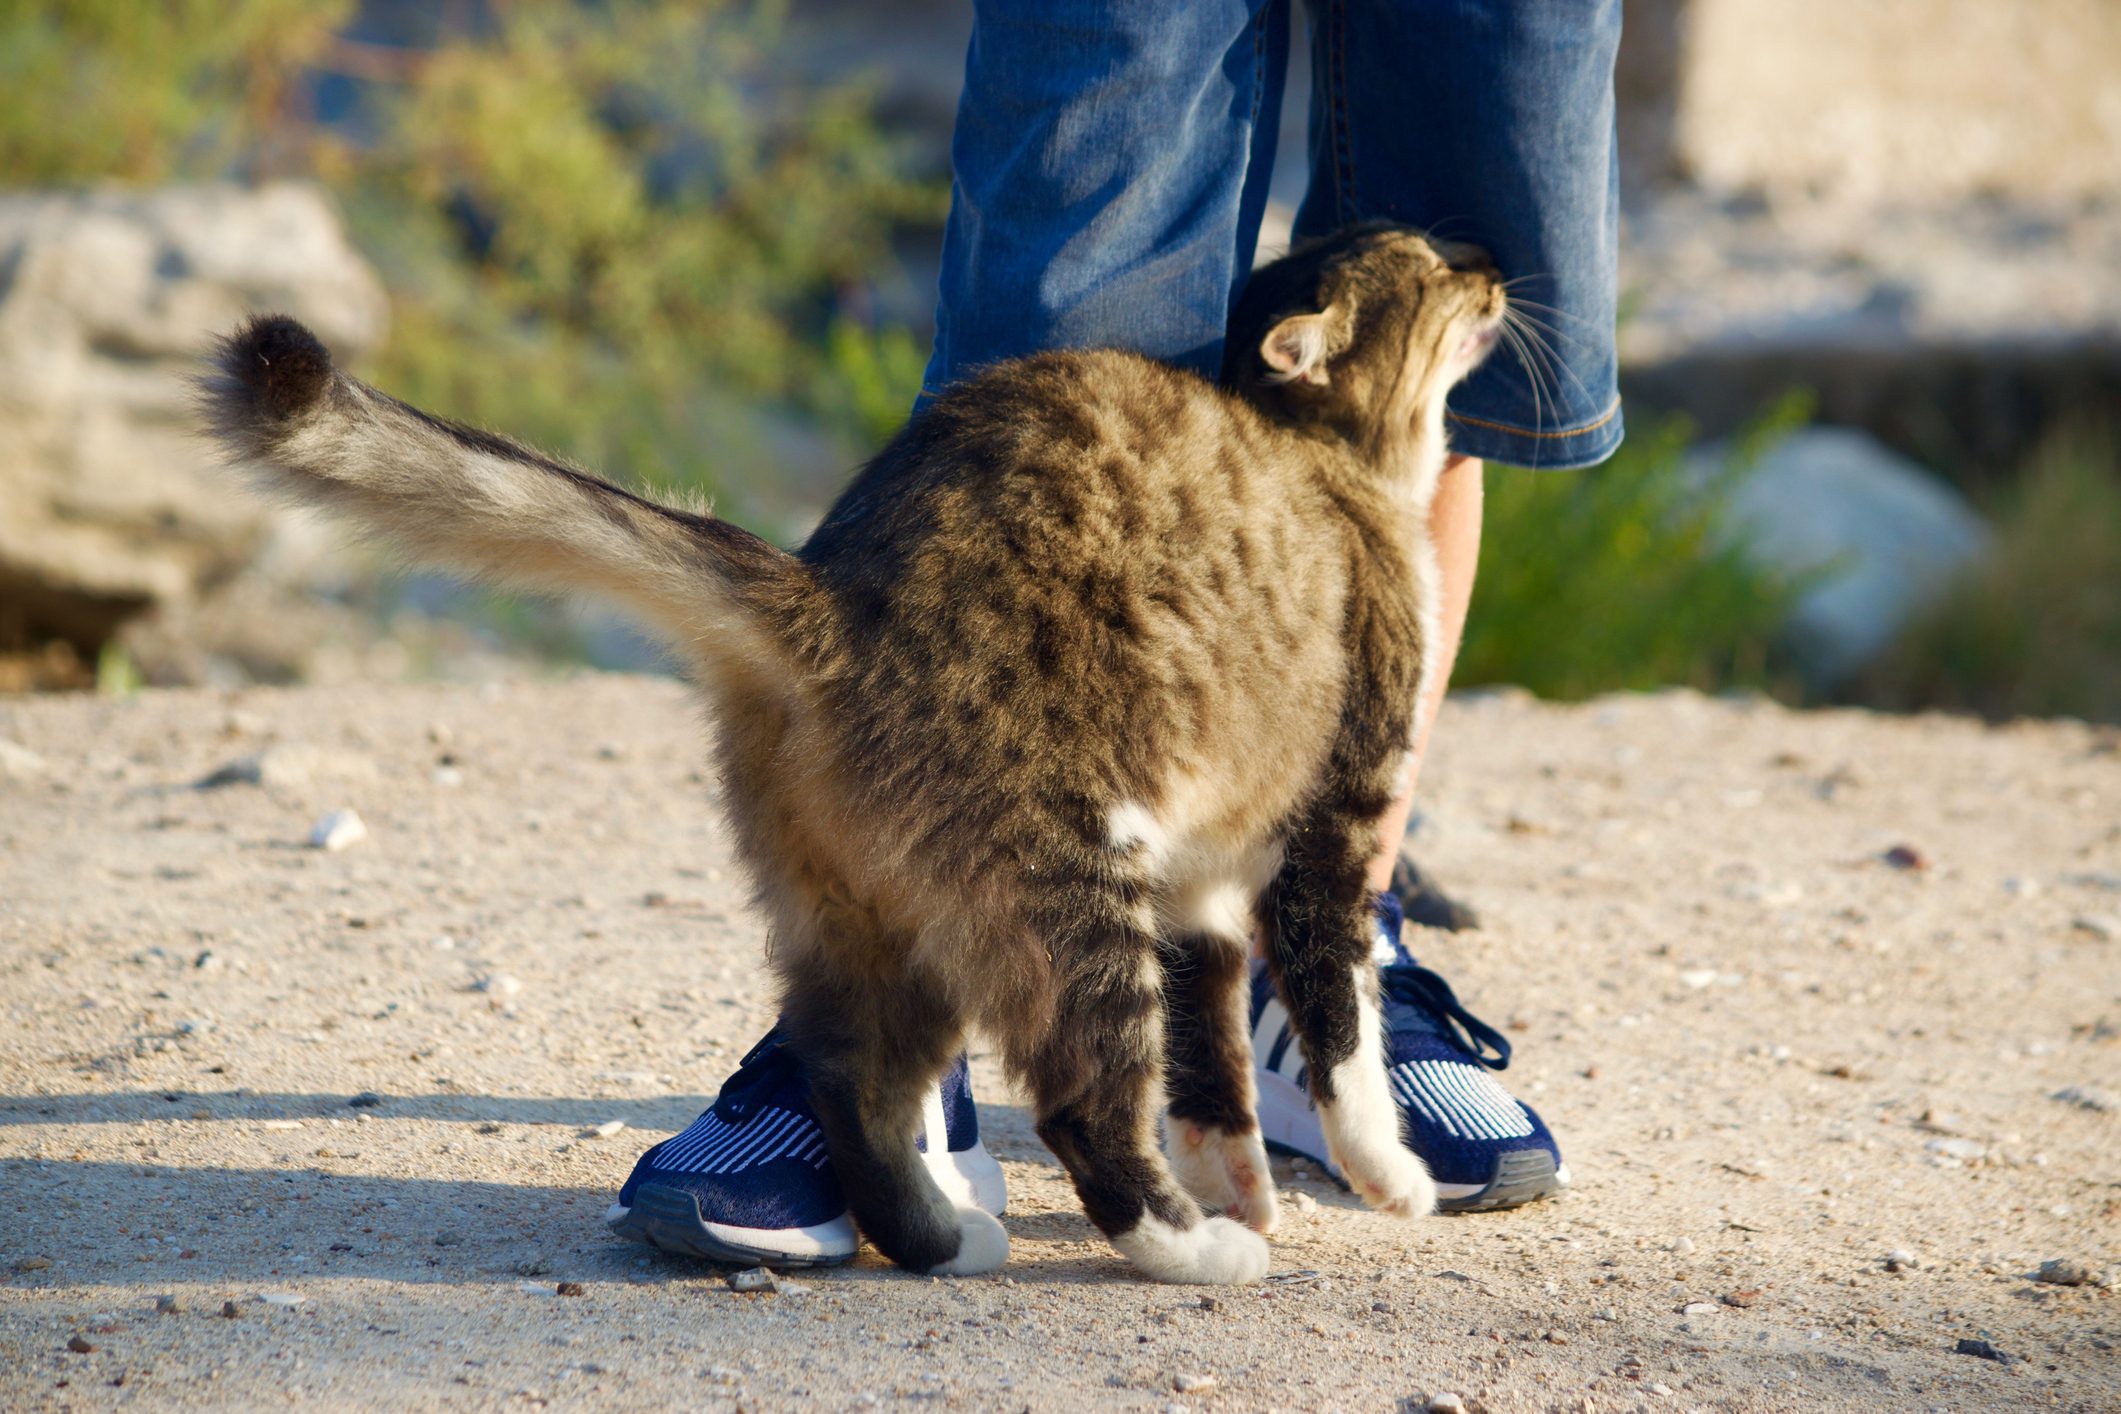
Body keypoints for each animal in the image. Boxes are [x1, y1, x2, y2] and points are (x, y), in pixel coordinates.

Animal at [202, 218, 1510, 1280]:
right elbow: (1338, 1026)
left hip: (882, 921)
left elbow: (1213, 1071)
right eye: (1431, 266)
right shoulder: (1332, 828)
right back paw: (1194, 1251)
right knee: (1085, 1108)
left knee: (849, 1078)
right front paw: (1382, 1174)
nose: (1495, 265)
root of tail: (828, 595)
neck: (1333, 465)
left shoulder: (1198, 887)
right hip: (1071, 898)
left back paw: (943, 1235)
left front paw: (1237, 1175)